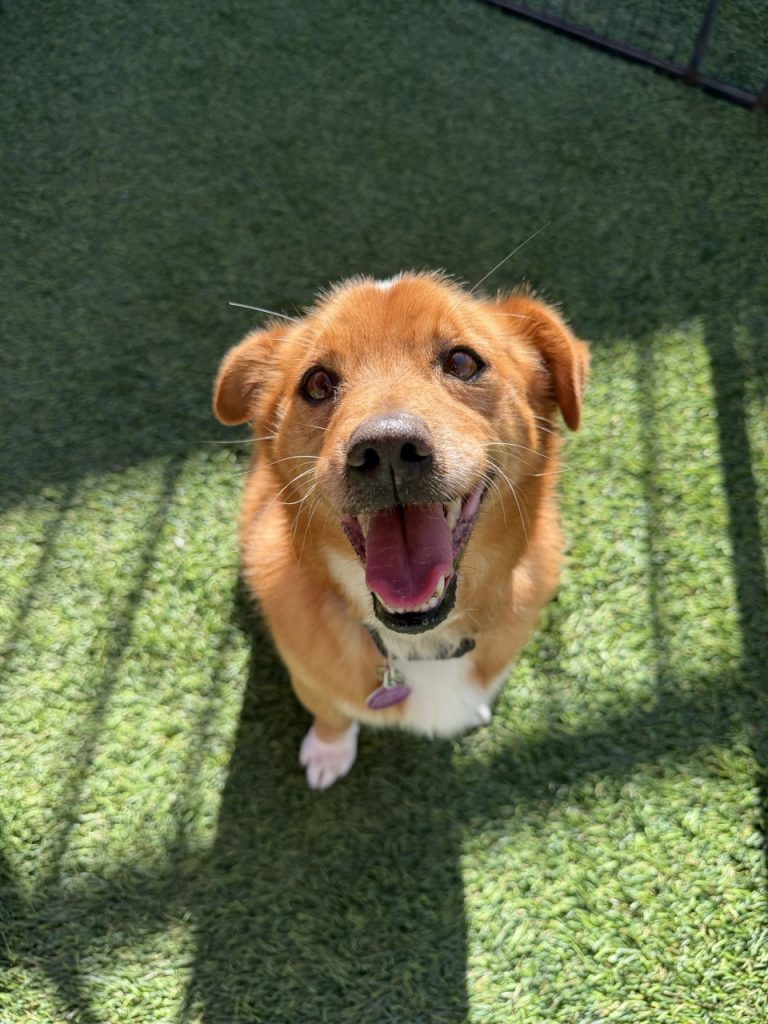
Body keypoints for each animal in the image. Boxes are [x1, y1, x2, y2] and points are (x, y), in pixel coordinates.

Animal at [214, 272, 588, 788]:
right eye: (317, 382)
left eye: (462, 361)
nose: (387, 447)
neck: (419, 643)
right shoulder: (310, 679)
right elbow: (332, 714)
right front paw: (328, 752)